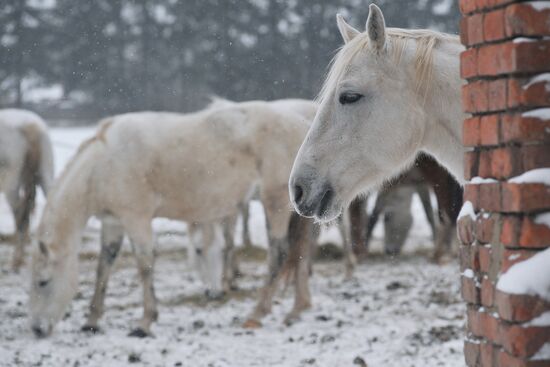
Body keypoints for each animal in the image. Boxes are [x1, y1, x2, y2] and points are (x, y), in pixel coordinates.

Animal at [29, 100, 320, 340]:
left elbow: (144, 264)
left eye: (43, 282)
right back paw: (296, 310)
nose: (37, 329)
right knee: (301, 253)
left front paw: (145, 323)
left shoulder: (136, 219)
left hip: (275, 204)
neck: (103, 165)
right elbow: (104, 265)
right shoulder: (113, 223)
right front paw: (92, 321)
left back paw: (257, 313)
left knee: (279, 254)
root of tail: (302, 125)